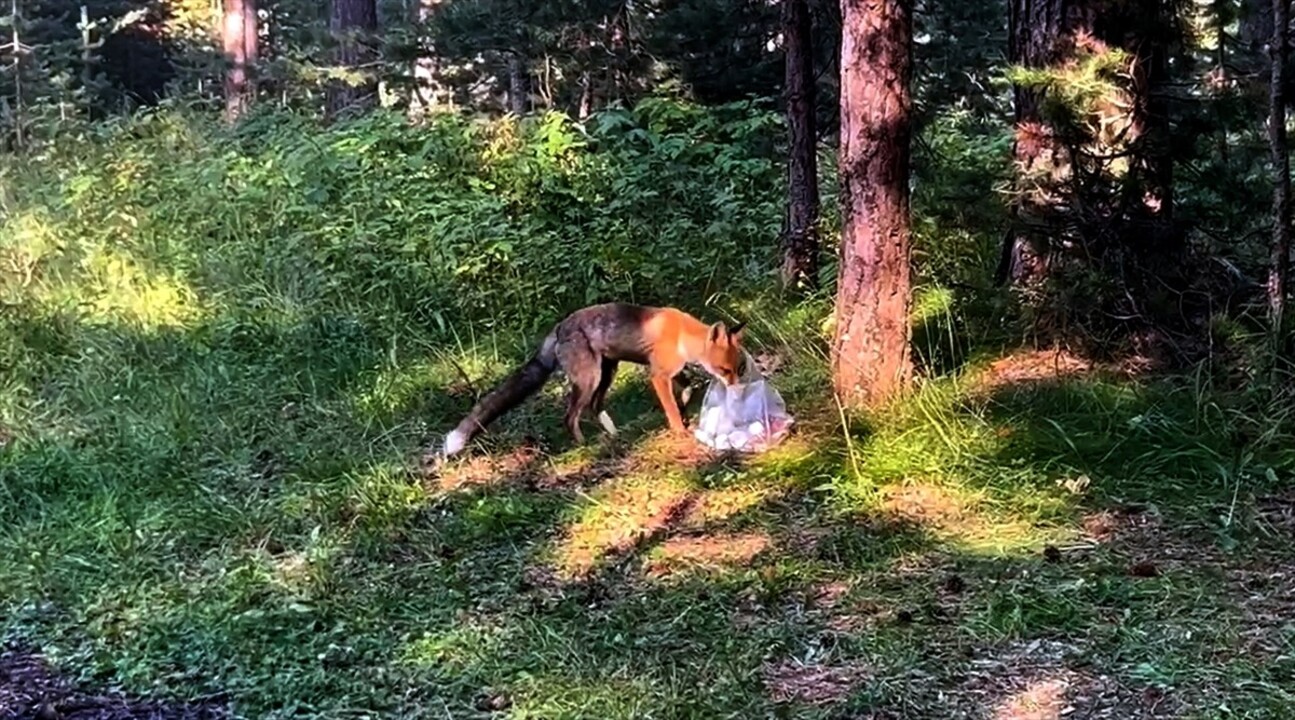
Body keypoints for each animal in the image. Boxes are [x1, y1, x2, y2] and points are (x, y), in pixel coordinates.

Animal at [445, 301, 751, 455]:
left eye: (738, 369)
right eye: (725, 370)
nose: (737, 392)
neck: (681, 335)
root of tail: (559, 327)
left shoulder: (670, 371)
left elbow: (687, 388)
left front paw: (685, 405)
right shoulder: (657, 375)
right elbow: (672, 409)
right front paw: (680, 429)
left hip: (607, 372)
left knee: (594, 407)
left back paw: (613, 435)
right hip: (589, 379)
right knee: (570, 416)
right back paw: (584, 445)